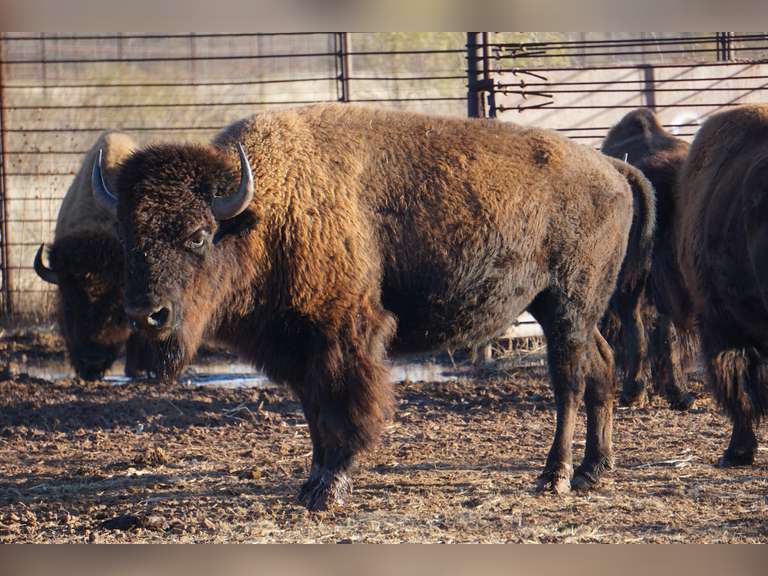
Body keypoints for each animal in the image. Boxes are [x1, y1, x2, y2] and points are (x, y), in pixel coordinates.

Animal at [93, 104, 652, 510]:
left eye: (198, 234)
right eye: (124, 234)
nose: (148, 315)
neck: (265, 211)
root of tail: (613, 169)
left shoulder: (345, 336)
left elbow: (345, 409)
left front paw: (329, 490)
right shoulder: (299, 347)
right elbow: (315, 413)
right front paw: (311, 484)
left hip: (567, 304)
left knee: (569, 381)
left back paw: (553, 477)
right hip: (569, 310)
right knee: (601, 367)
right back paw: (595, 472)